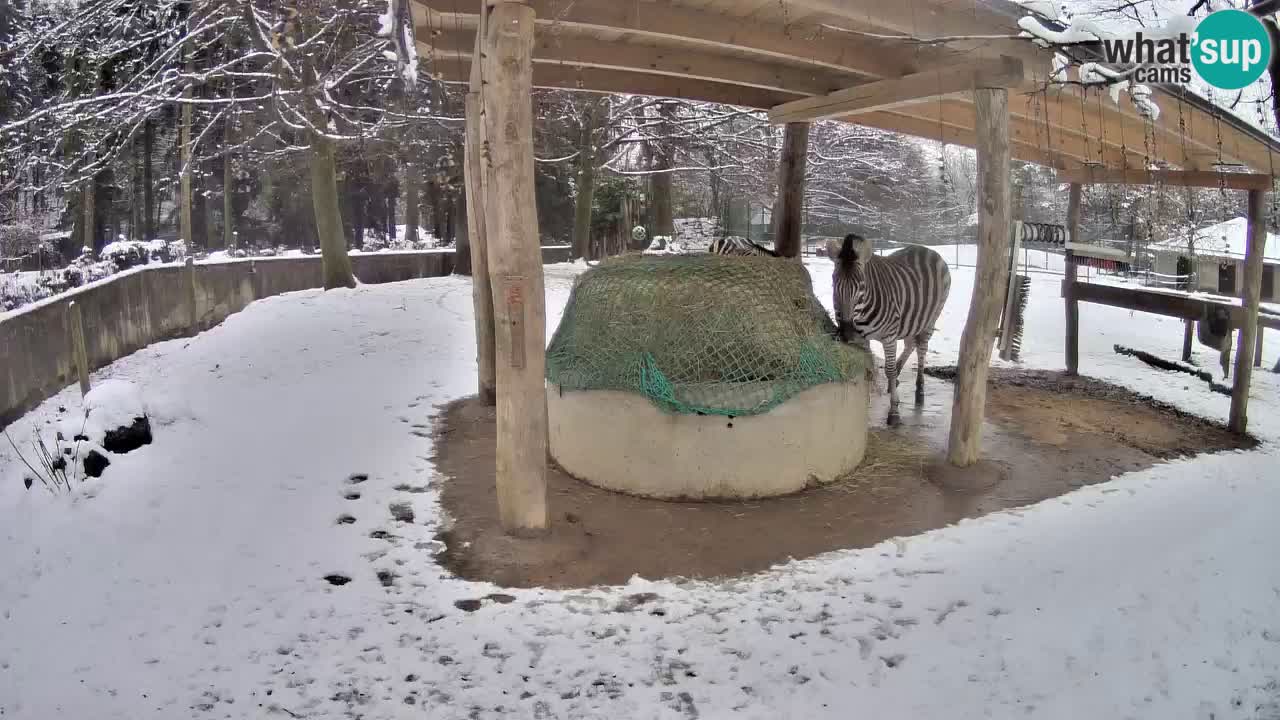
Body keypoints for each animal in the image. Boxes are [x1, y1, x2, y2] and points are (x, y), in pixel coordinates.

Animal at [829, 230, 952, 420]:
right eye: (834, 281)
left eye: (861, 286)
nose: (847, 333)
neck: (861, 316)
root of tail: (928, 250)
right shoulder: (863, 338)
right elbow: (870, 366)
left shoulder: (889, 336)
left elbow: (889, 370)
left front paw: (894, 410)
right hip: (911, 319)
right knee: (910, 344)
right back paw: (898, 375)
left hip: (930, 319)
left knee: (921, 348)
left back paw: (920, 389)